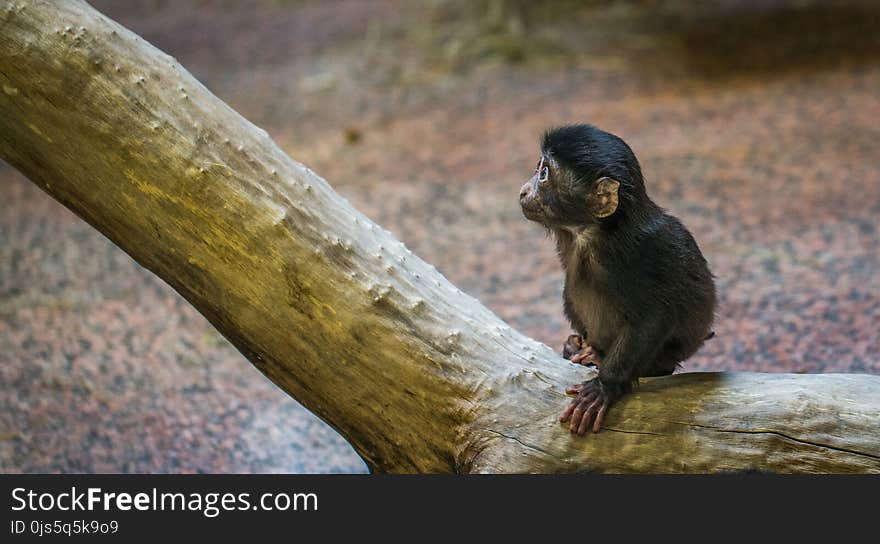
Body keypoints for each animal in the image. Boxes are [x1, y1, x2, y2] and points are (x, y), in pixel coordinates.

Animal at [516, 125, 716, 436]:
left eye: (544, 173)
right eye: (539, 168)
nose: (524, 190)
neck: (592, 235)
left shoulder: (643, 251)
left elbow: (654, 317)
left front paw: (604, 386)